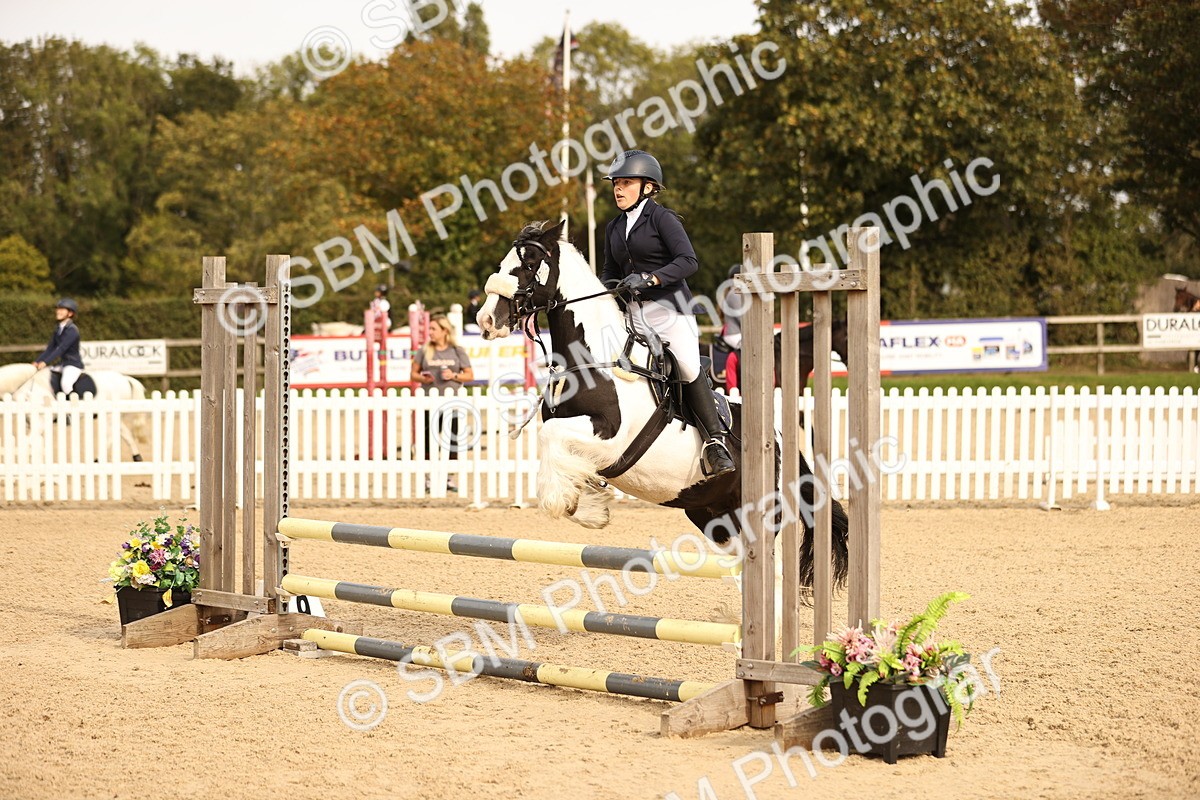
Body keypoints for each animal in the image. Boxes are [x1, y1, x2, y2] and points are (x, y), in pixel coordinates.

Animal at [0, 363, 149, 461]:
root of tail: (125, 378)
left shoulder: (40, 424)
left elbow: (26, 442)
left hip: (109, 416)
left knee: (110, 438)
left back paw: (98, 460)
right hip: (114, 416)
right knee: (126, 435)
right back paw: (137, 457)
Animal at [476, 220, 849, 595]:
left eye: (529, 263)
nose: (486, 320)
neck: (594, 359)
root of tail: (779, 443)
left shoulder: (609, 436)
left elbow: (549, 437)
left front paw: (564, 501)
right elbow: (555, 449)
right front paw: (593, 511)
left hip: (760, 513)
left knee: (773, 573)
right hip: (715, 516)